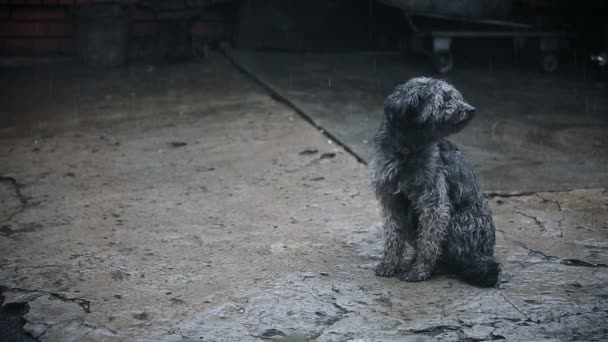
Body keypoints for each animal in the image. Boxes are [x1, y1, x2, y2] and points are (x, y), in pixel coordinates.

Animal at [370, 77, 498, 286]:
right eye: (445, 98)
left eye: (455, 96)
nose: (471, 109)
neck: (408, 148)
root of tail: (485, 254)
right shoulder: (391, 200)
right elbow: (392, 237)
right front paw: (389, 264)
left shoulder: (434, 204)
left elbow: (429, 242)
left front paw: (420, 270)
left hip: (458, 221)